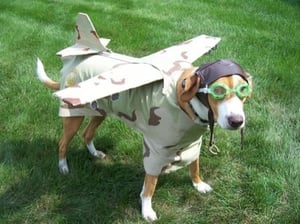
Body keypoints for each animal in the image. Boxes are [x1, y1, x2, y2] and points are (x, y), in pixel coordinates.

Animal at [35, 55, 251, 220]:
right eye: (218, 91)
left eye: (243, 91)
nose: (237, 121)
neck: (183, 101)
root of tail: (72, 66)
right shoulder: (156, 150)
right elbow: (149, 187)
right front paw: (147, 211)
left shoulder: (192, 143)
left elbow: (194, 166)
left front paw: (198, 184)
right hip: (74, 115)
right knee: (63, 143)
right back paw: (63, 166)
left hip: (100, 112)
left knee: (87, 133)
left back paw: (95, 153)